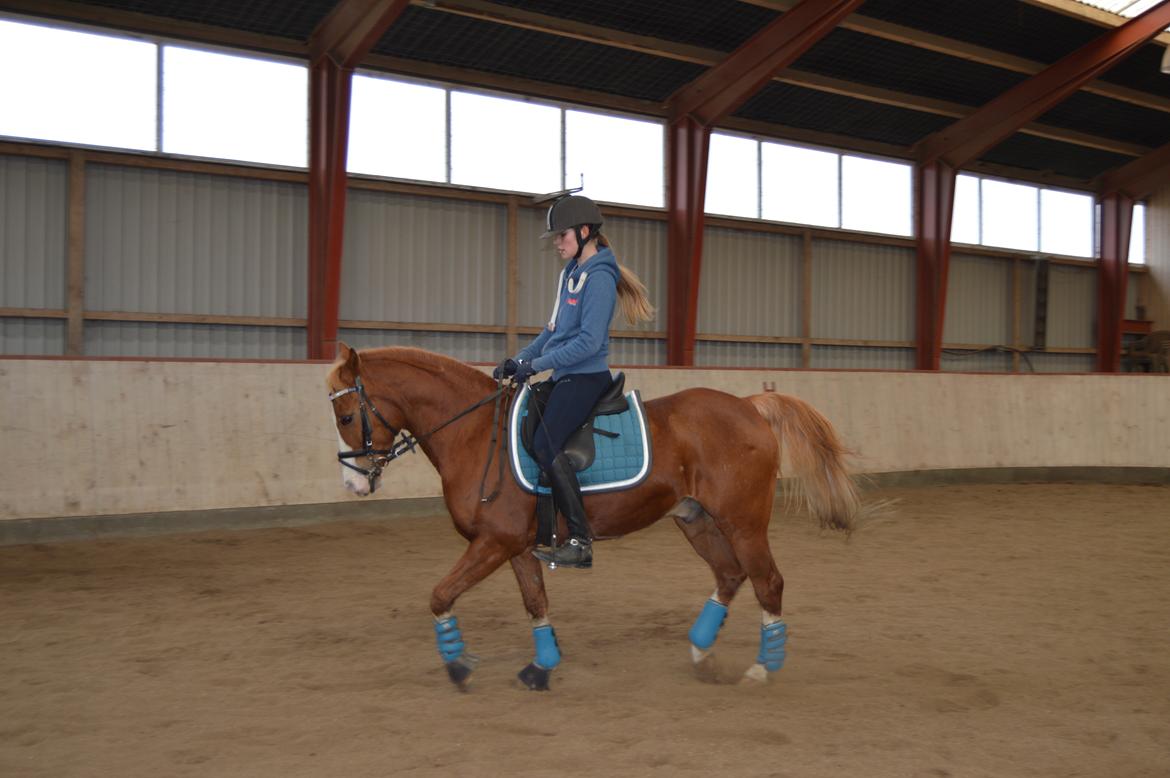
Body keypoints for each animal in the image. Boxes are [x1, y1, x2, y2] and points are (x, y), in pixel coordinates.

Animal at [322, 343, 861, 687]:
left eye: (347, 417)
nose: (353, 485)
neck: (475, 433)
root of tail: (750, 404)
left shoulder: (494, 543)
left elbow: (439, 595)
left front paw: (457, 664)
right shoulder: (513, 545)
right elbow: (535, 602)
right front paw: (542, 666)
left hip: (743, 522)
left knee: (768, 582)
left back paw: (761, 668)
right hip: (696, 518)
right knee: (730, 575)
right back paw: (701, 651)